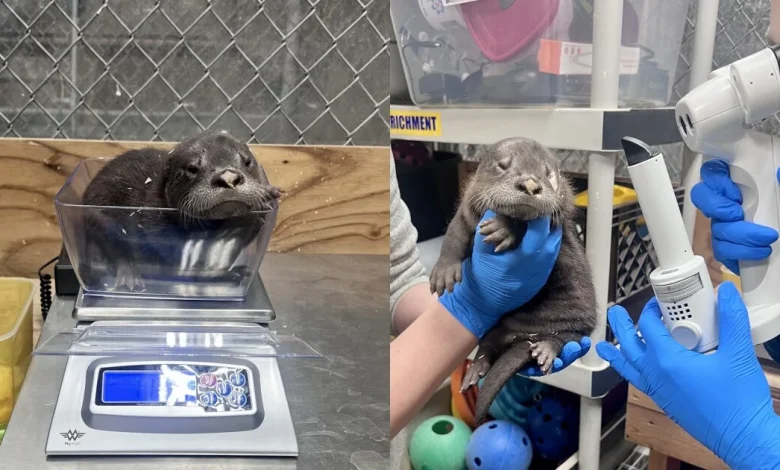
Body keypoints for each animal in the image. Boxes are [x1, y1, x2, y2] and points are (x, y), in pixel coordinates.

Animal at [79, 130, 281, 292]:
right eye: (192, 168)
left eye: (247, 162)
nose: (228, 177)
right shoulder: (155, 225)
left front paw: (266, 196)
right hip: (99, 217)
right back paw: (130, 276)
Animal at [429, 137, 598, 424]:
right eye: (503, 165)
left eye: (548, 173)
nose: (530, 184)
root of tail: (524, 337)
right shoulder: (467, 209)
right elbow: (454, 234)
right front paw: (443, 272)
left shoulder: (557, 223)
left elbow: (527, 224)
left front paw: (504, 228)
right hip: (497, 328)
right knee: (487, 345)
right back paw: (476, 369)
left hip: (577, 325)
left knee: (564, 338)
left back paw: (545, 350)